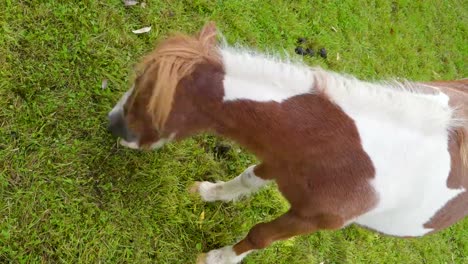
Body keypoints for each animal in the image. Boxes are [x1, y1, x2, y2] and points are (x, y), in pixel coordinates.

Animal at [109, 21, 468, 262]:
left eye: (150, 96)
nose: (113, 125)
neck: (346, 152)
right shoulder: (280, 161)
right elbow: (246, 179)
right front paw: (208, 193)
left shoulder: (310, 220)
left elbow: (260, 236)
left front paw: (215, 258)